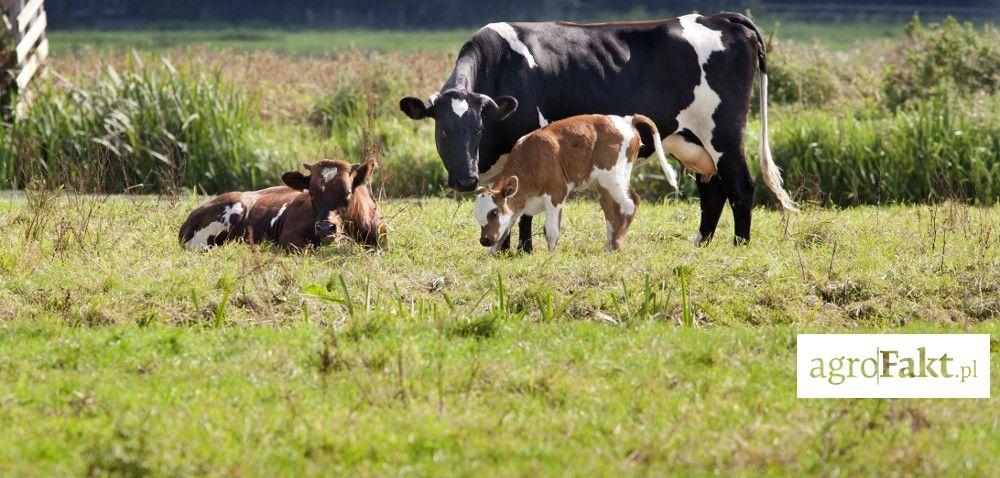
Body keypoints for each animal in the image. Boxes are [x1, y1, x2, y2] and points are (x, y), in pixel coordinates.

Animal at [476, 114, 680, 254]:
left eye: (493, 212)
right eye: (477, 217)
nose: (484, 240)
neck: (532, 158)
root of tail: (626, 119)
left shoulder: (556, 193)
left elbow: (550, 229)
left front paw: (550, 255)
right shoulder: (516, 206)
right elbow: (505, 230)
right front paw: (491, 254)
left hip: (612, 178)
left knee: (630, 204)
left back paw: (616, 244)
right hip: (606, 182)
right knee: (611, 211)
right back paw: (609, 245)